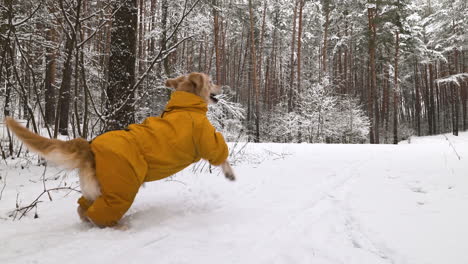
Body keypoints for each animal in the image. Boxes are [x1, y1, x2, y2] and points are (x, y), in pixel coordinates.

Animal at [5, 71, 236, 227]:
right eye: (211, 81)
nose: (223, 86)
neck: (185, 105)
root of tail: (90, 145)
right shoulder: (207, 138)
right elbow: (221, 154)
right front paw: (230, 174)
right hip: (121, 187)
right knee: (99, 212)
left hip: (95, 189)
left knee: (82, 208)